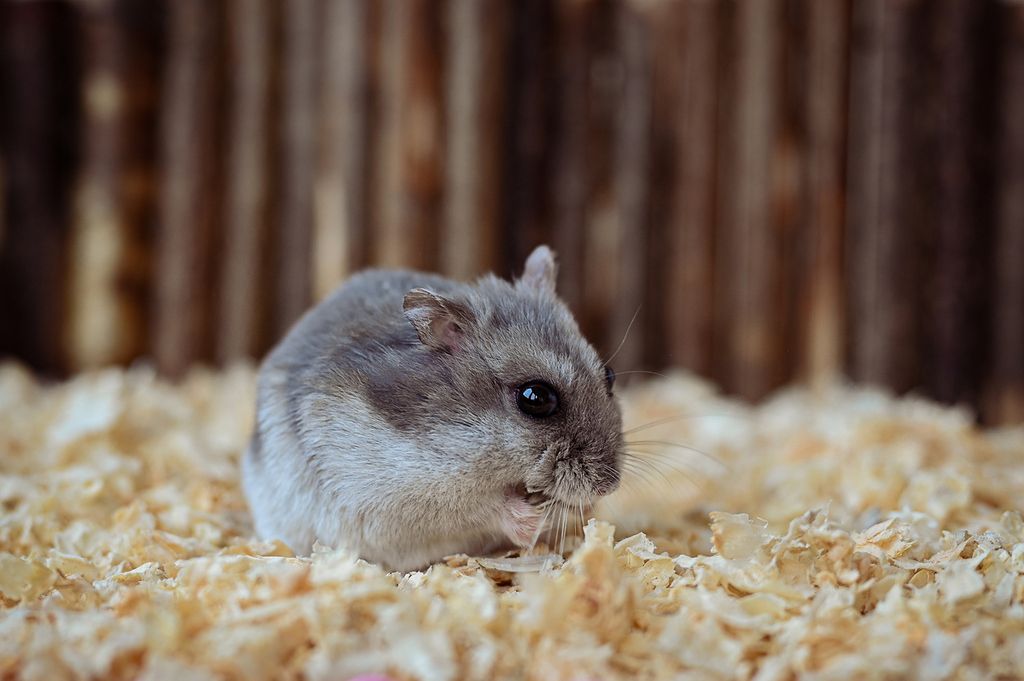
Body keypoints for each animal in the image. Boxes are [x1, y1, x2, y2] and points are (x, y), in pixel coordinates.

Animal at [242, 245, 623, 571]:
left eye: (609, 375)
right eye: (535, 398)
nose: (608, 487)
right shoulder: (399, 493)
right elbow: (482, 507)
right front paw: (533, 521)